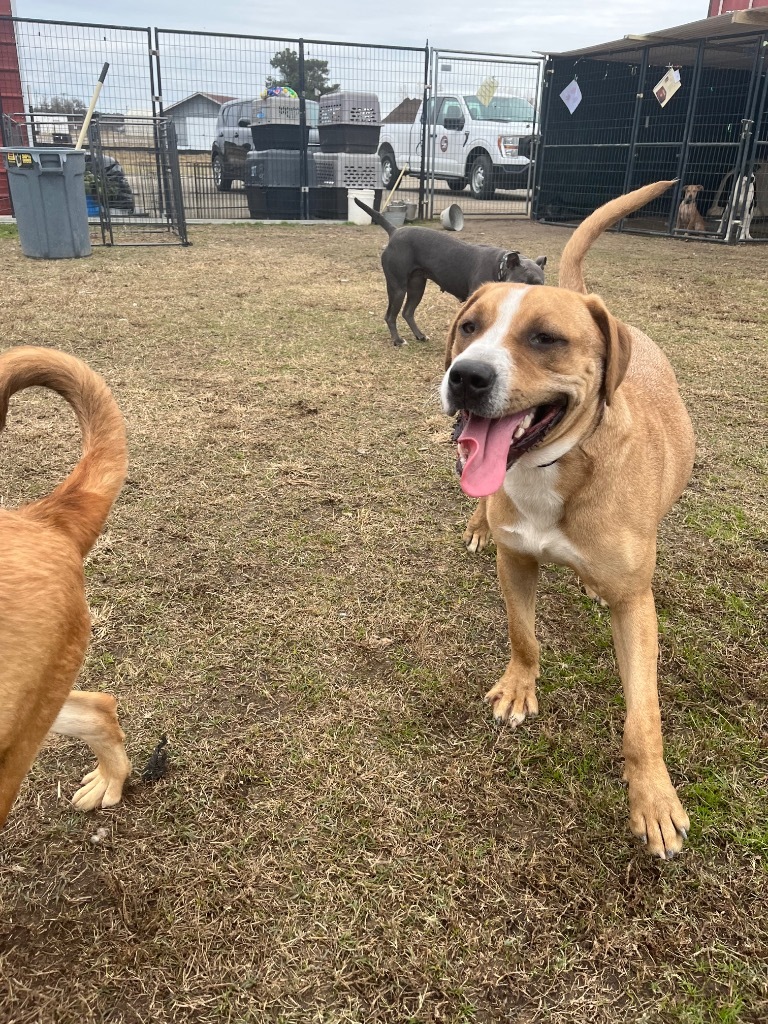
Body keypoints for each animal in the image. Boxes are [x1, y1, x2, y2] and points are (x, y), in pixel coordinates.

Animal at [354, 195, 548, 348]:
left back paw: (420, 335)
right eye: (522, 283)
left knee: (407, 312)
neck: (499, 268)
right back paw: (397, 340)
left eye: (541, 287)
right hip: (398, 287)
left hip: (417, 286)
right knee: (390, 316)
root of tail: (394, 231)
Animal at [438, 182, 696, 856]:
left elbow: (643, 717)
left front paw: (653, 799)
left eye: (546, 338)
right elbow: (522, 634)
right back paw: (477, 521)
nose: (465, 375)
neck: (551, 469)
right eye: (469, 326)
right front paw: (519, 689)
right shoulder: (516, 559)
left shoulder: (636, 606)